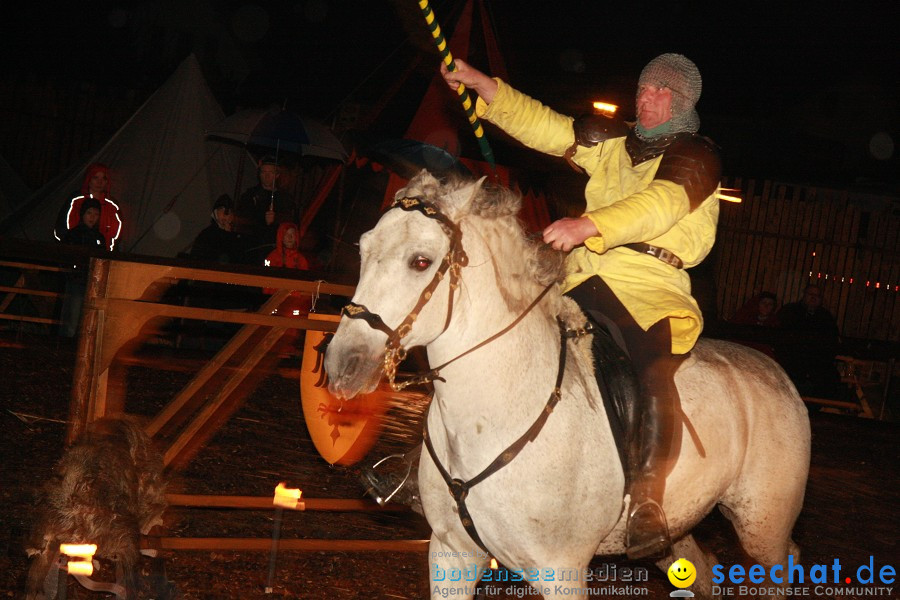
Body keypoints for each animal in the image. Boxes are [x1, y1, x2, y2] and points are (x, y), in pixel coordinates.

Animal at [326, 171, 812, 596]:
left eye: (421, 262)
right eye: (363, 248)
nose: (342, 365)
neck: (495, 412)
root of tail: (775, 373)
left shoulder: (561, 571)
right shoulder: (451, 555)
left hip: (763, 527)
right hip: (677, 529)